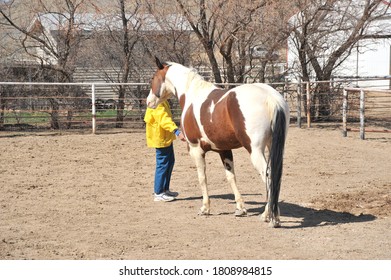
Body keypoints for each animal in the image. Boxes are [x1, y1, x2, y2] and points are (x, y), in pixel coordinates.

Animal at [145, 57, 290, 228]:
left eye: (152, 78)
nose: (148, 102)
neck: (192, 95)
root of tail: (270, 96)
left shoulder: (196, 149)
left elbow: (202, 177)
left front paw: (205, 208)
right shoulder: (224, 150)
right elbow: (231, 177)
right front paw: (240, 208)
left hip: (255, 150)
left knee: (268, 177)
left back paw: (270, 217)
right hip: (274, 146)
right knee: (275, 176)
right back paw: (273, 215)